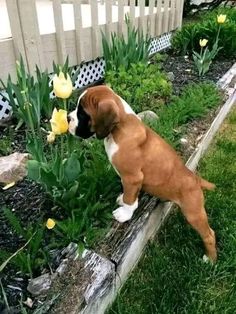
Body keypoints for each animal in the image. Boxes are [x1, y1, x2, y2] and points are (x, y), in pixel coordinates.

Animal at [68, 84, 218, 262]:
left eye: (82, 114)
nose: (68, 118)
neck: (120, 128)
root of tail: (195, 179)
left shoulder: (132, 178)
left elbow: (130, 200)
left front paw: (124, 214)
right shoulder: (130, 181)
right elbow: (129, 194)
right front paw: (122, 199)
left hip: (193, 212)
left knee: (209, 234)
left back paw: (210, 259)